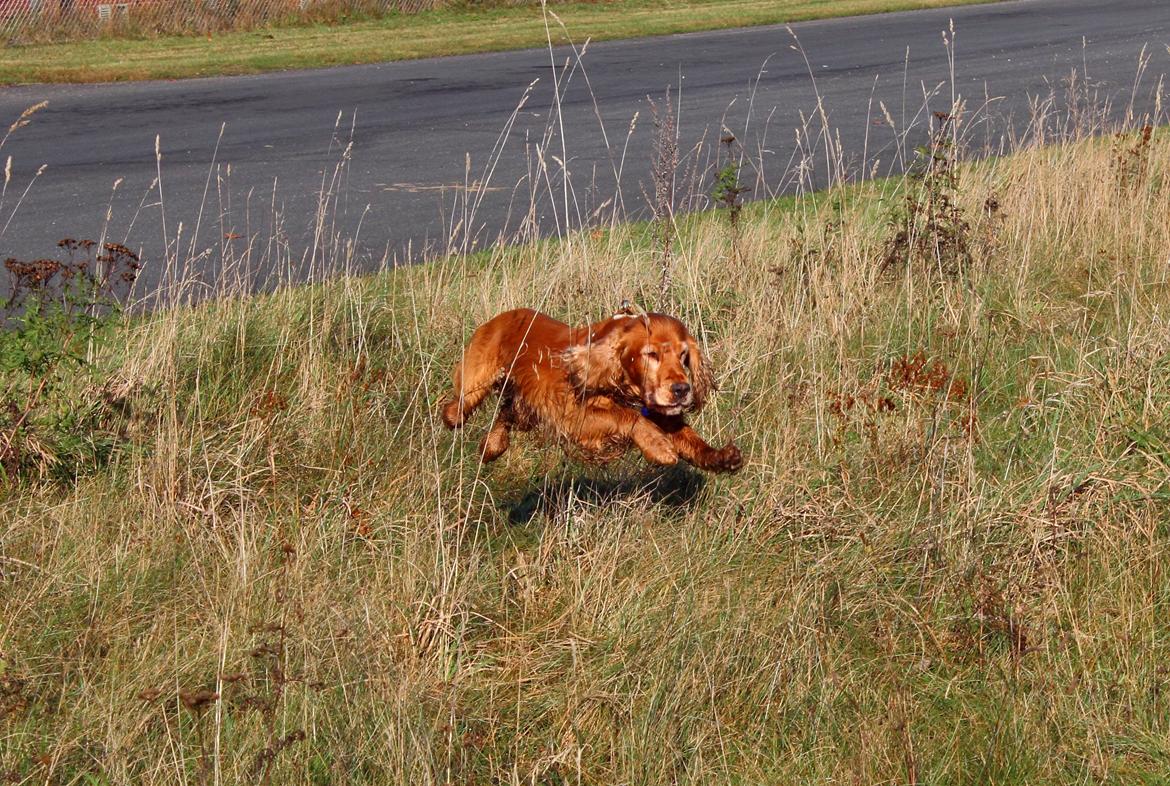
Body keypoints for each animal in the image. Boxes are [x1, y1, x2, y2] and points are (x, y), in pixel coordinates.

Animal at [439, 306, 739, 472]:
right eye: (651, 354)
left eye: (683, 355)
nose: (681, 389)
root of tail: (498, 319)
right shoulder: (573, 416)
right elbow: (628, 417)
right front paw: (658, 446)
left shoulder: (659, 412)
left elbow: (689, 436)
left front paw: (720, 457)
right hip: (475, 383)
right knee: (456, 410)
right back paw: (456, 419)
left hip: (525, 406)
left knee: (506, 412)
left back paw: (491, 446)